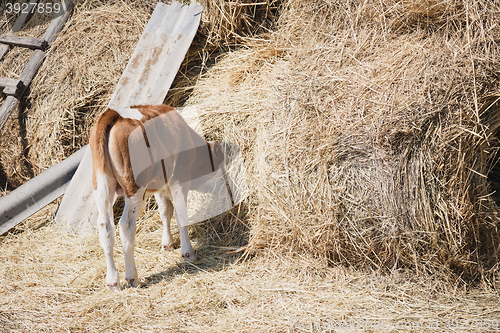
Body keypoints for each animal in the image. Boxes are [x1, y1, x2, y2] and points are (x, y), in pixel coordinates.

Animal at [89, 104, 224, 288]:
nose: (223, 186)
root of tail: (114, 114)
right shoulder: (179, 180)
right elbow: (180, 215)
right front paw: (187, 253)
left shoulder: (160, 186)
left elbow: (165, 211)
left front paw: (167, 243)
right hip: (135, 187)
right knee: (126, 225)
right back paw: (132, 277)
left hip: (102, 186)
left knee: (105, 227)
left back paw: (112, 281)